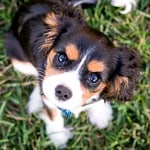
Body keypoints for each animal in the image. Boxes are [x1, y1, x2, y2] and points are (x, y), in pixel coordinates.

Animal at [4, 0, 141, 148]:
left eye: (94, 78)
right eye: (61, 58)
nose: (62, 92)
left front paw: (100, 114)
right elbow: (53, 113)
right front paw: (58, 137)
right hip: (19, 60)